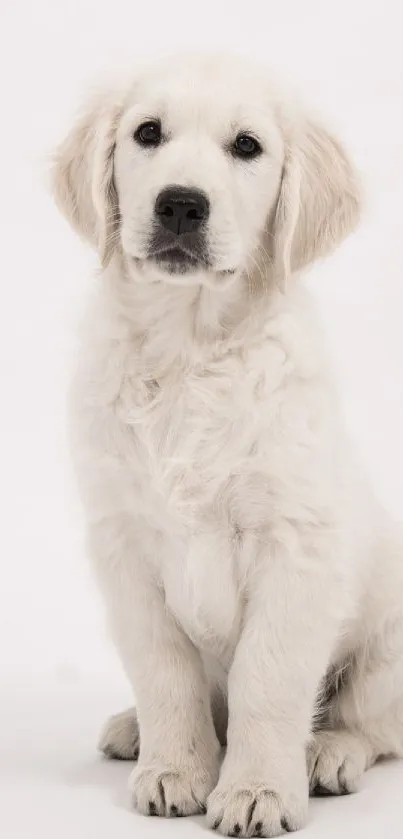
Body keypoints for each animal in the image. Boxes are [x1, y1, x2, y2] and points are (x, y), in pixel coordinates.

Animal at [52, 54, 403, 839]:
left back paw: (327, 753)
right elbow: (165, 672)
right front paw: (175, 768)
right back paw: (134, 731)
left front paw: (256, 788)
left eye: (247, 146)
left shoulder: (293, 546)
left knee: (372, 721)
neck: (189, 351)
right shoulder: (124, 547)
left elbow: (267, 680)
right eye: (146, 133)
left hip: (388, 643)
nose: (181, 205)